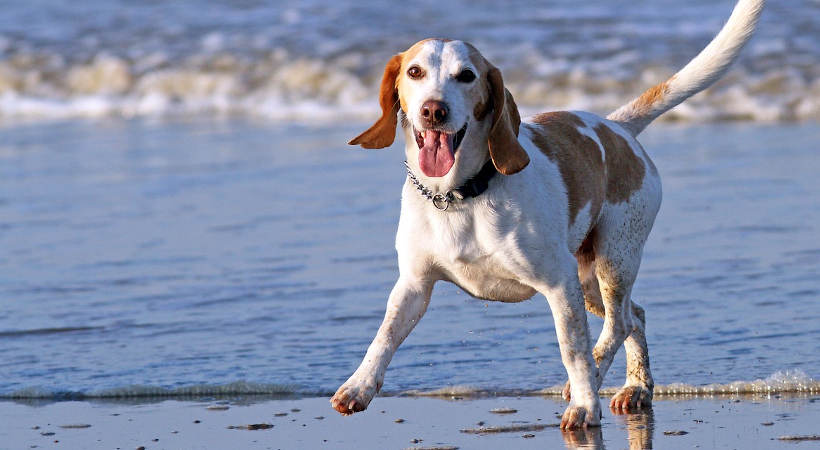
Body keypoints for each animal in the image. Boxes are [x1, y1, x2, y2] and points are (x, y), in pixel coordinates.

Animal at [330, 0, 764, 428]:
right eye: (414, 72)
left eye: (466, 76)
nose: (433, 110)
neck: (459, 196)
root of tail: (617, 127)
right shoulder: (414, 285)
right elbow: (383, 337)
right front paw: (358, 387)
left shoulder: (558, 284)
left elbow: (573, 351)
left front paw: (585, 406)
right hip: (588, 282)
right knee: (635, 316)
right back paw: (636, 387)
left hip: (612, 262)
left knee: (618, 324)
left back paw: (597, 382)